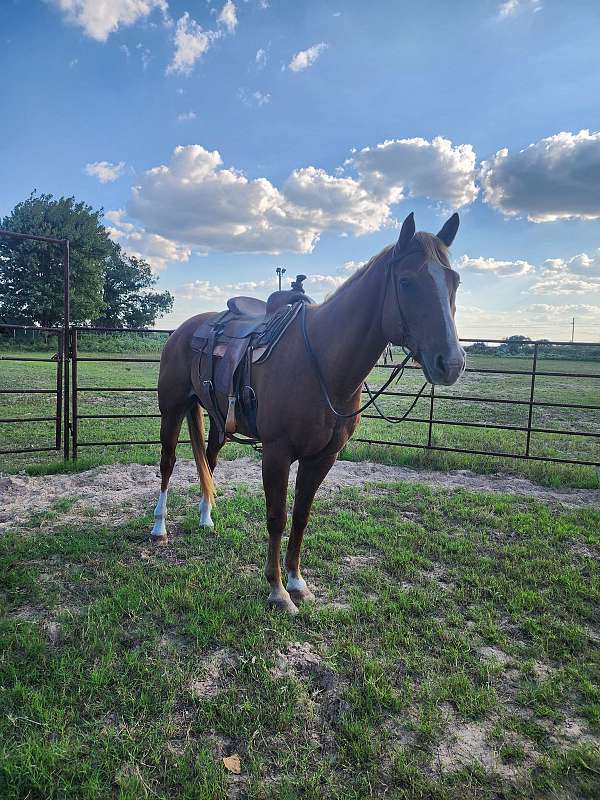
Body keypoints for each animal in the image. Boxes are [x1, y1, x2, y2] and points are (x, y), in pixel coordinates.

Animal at [150, 212, 464, 612]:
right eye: (406, 281)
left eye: (454, 280)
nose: (451, 363)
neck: (323, 363)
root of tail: (185, 329)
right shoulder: (277, 453)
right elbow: (276, 517)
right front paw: (277, 591)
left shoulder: (323, 457)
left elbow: (301, 516)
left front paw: (298, 582)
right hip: (172, 409)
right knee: (168, 463)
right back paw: (158, 527)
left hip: (218, 420)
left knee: (209, 458)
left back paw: (206, 518)